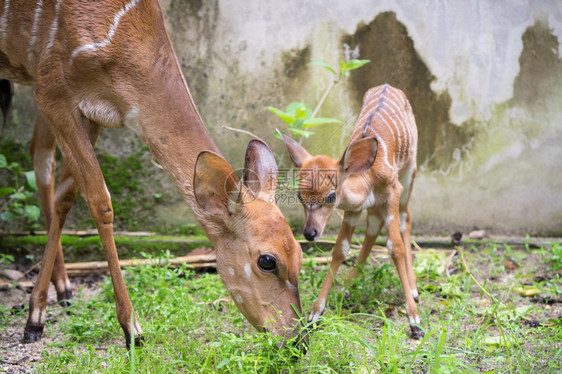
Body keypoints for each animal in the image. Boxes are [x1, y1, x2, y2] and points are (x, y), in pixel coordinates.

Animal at [0, 0, 302, 346]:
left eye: (300, 253)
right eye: (267, 261)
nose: (298, 339)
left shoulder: (88, 112)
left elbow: (67, 196)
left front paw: (37, 315)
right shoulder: (53, 91)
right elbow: (101, 202)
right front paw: (131, 328)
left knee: (40, 154)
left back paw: (64, 288)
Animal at [282, 84, 422, 338]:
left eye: (331, 195)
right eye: (299, 196)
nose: (310, 233)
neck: (368, 176)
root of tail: (388, 86)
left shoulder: (393, 191)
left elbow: (395, 247)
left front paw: (414, 320)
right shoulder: (355, 208)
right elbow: (341, 249)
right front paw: (315, 313)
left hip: (409, 173)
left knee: (406, 219)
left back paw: (415, 289)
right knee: (373, 227)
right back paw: (348, 286)